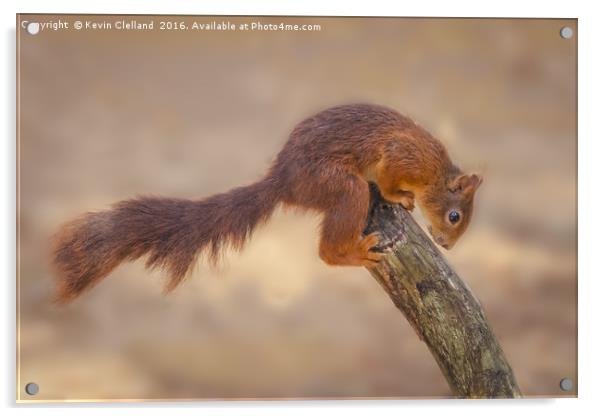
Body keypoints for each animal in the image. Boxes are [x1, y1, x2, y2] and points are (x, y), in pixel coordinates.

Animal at [54, 102, 480, 300]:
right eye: (455, 216)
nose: (445, 245)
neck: (435, 172)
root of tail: (283, 182)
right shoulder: (401, 156)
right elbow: (390, 181)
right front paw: (401, 197)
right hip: (339, 186)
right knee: (330, 246)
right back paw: (354, 252)